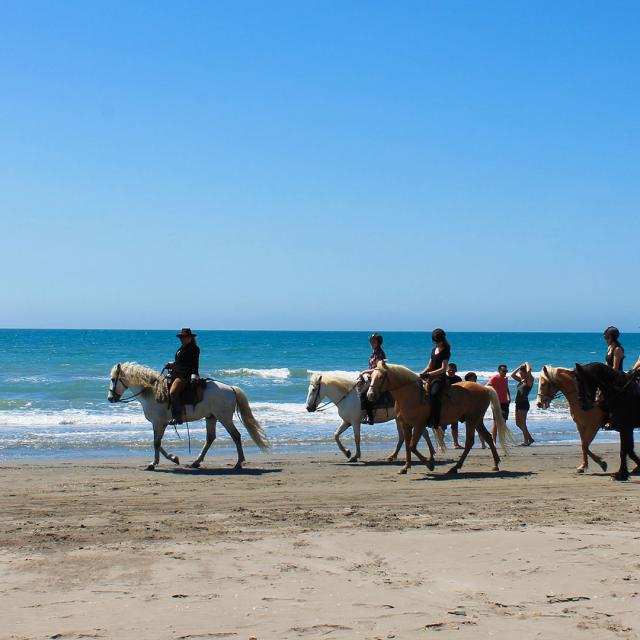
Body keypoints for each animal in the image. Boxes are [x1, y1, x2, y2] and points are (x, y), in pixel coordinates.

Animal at [109, 362, 268, 472]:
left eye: (112, 379)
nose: (110, 398)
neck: (153, 393)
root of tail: (230, 388)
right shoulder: (159, 423)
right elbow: (157, 443)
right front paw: (173, 458)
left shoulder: (159, 422)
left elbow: (156, 443)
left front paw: (154, 464)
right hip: (211, 417)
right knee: (210, 438)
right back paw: (196, 462)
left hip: (224, 418)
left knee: (236, 435)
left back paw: (238, 463)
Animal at [304, 372, 440, 462]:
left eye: (314, 389)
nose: (308, 408)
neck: (347, 397)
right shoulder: (347, 421)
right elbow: (336, 435)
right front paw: (347, 453)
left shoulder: (355, 422)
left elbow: (357, 438)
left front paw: (355, 456)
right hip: (399, 419)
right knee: (409, 435)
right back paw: (394, 456)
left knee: (422, 433)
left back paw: (431, 455)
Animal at [368, 360, 512, 476]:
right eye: (371, 377)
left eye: (381, 377)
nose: (370, 395)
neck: (410, 395)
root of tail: (485, 388)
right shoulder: (406, 425)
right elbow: (408, 446)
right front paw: (406, 467)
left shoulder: (419, 425)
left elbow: (412, 446)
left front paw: (430, 465)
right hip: (477, 420)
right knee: (488, 437)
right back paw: (495, 464)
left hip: (472, 420)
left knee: (469, 442)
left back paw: (455, 468)